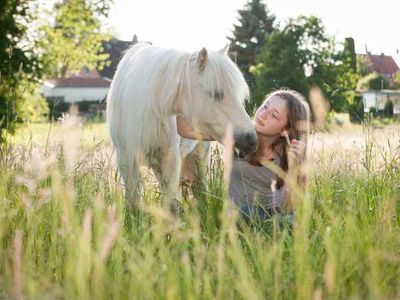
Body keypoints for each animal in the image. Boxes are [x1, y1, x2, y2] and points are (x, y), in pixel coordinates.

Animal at [107, 43, 256, 207]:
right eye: (216, 93)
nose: (251, 139)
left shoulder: (170, 158)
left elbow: (170, 205)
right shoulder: (126, 159)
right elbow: (134, 201)